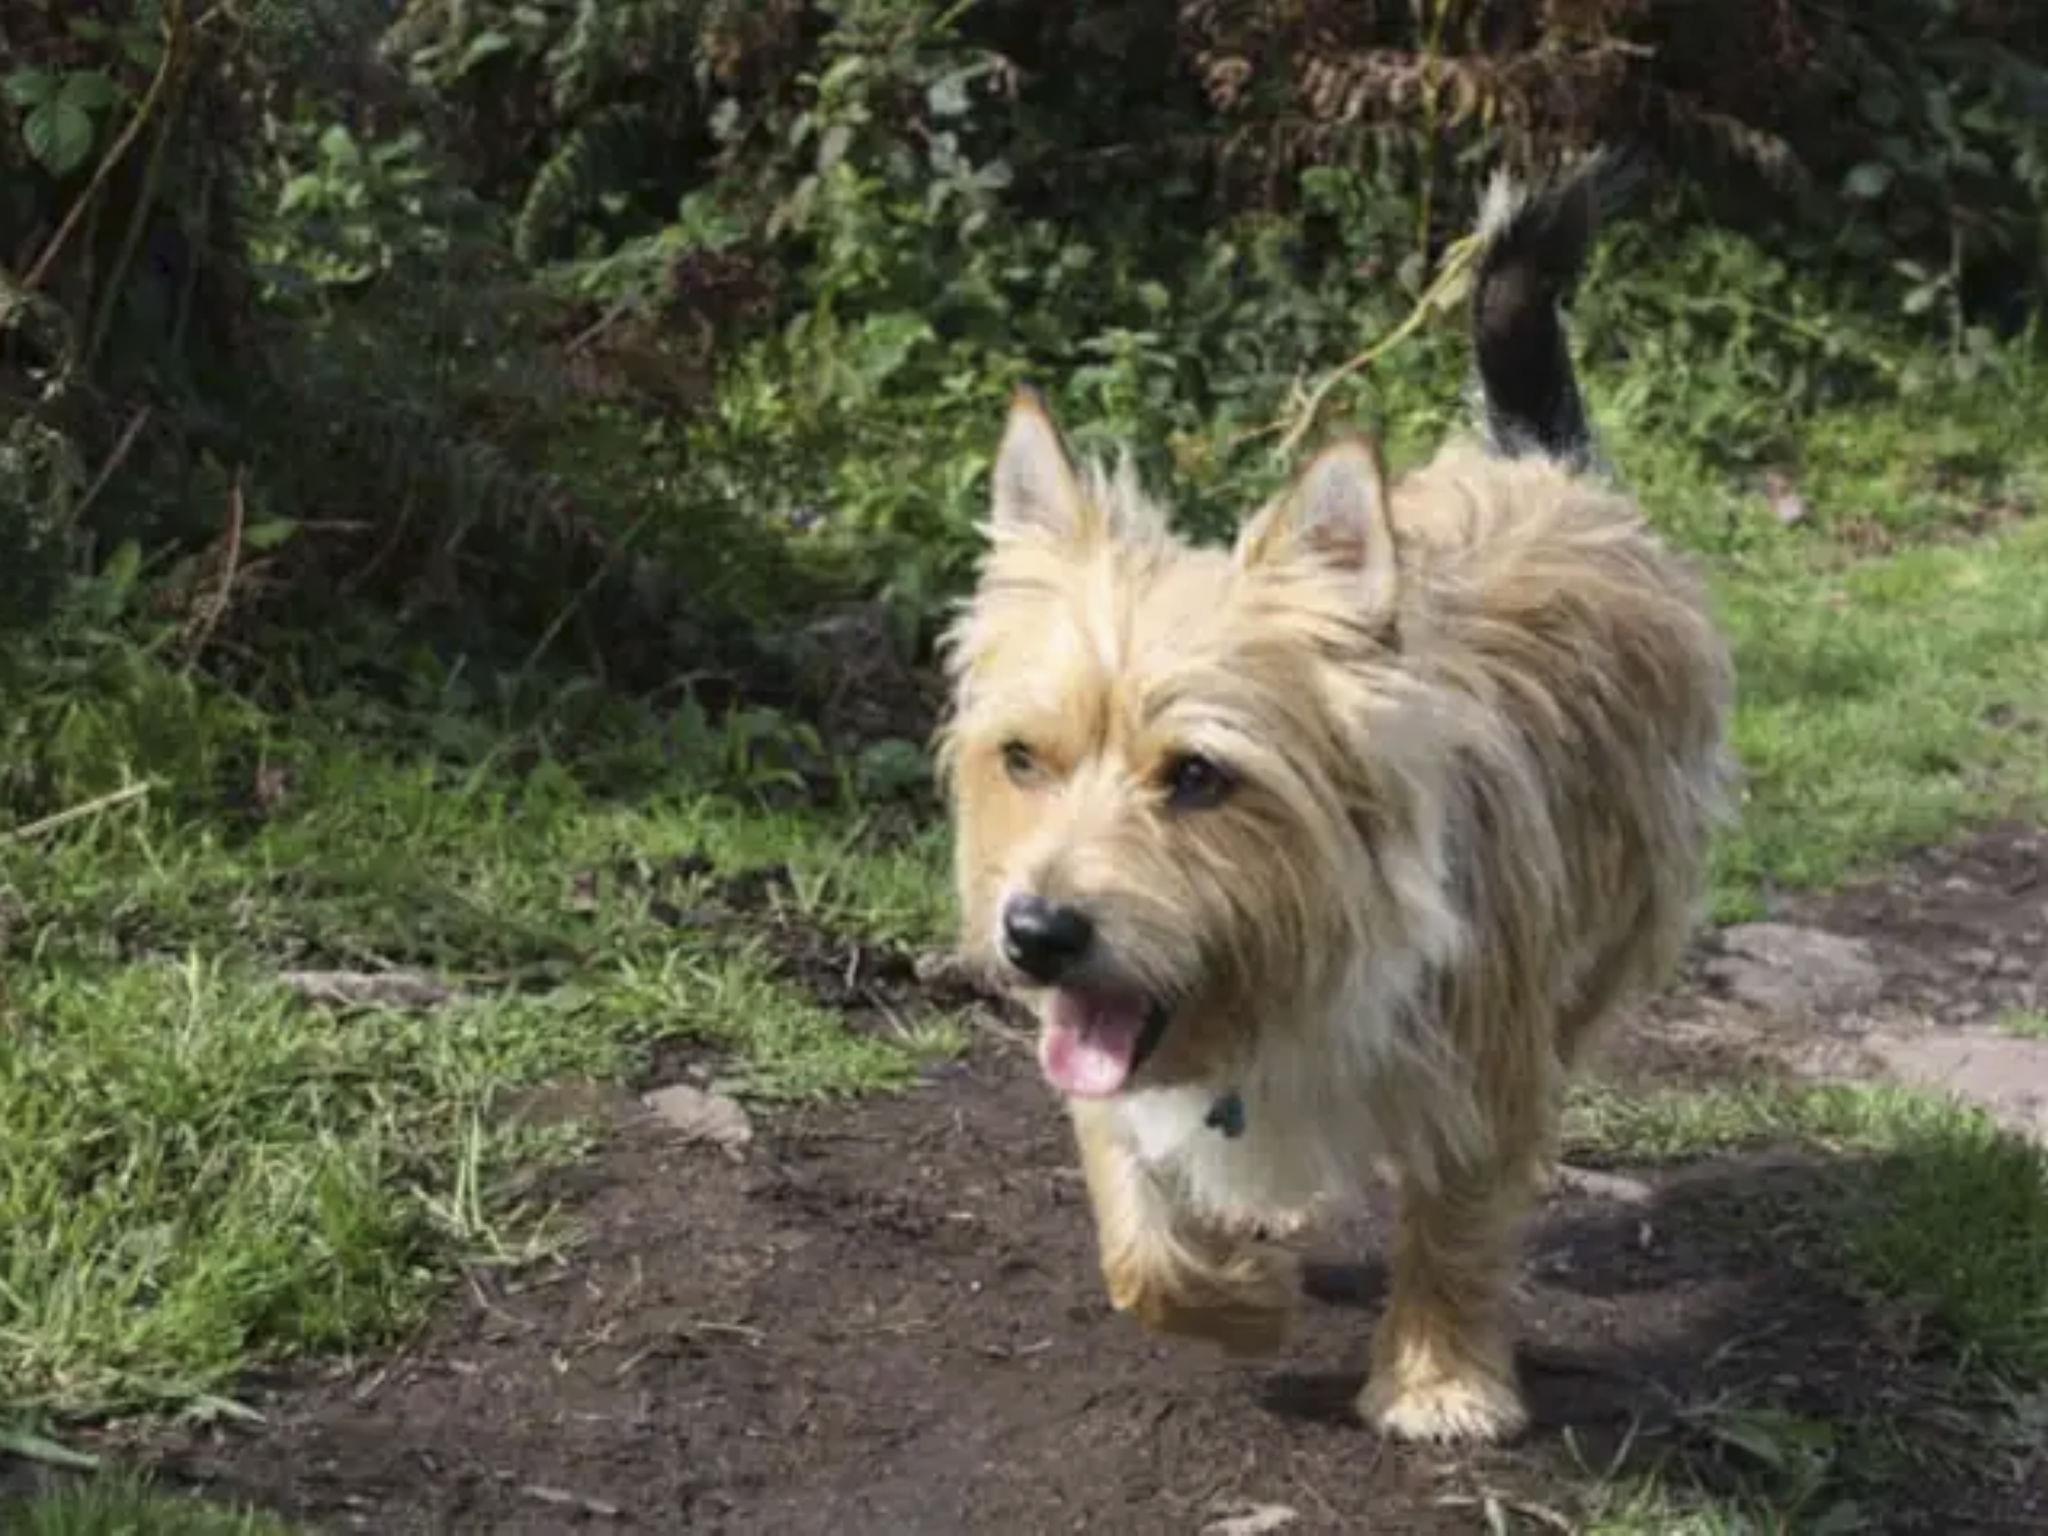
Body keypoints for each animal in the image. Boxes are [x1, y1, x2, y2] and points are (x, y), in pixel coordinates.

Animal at [937, 158, 1735, 1445]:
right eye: (1021, 759)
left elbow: (1456, 1216)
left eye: (1197, 776)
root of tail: (1545, 467)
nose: (1036, 934)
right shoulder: (1101, 1048)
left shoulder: (1481, 1049)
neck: (1280, 970)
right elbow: (1135, 1231)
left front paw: (1438, 1381)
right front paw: (1232, 1292)